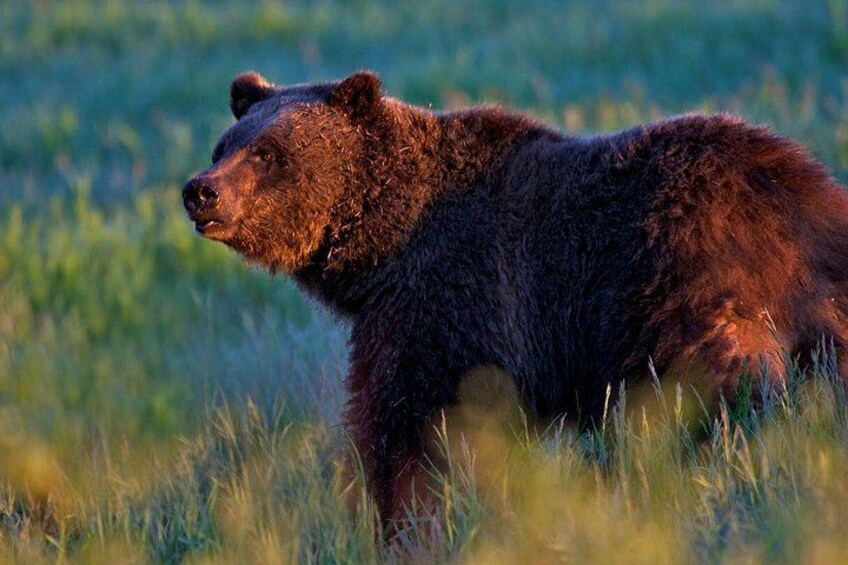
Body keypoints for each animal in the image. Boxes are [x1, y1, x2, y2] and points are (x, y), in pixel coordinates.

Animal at [183, 70, 848, 522]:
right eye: (224, 144)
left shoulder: (455, 293)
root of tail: (804, 190)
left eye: (267, 152)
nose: (201, 191)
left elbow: (413, 423)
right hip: (822, 309)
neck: (382, 249)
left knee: (717, 388)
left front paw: (411, 515)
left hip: (684, 276)